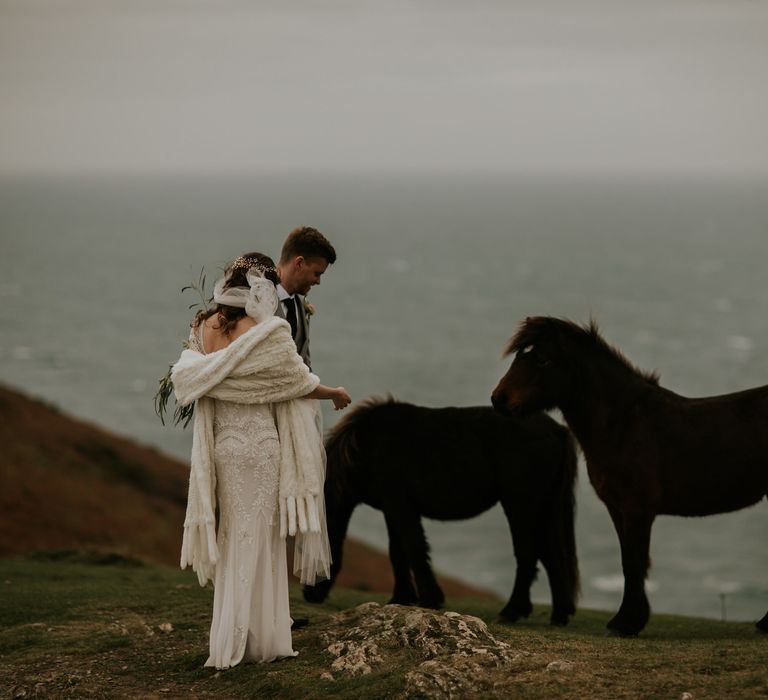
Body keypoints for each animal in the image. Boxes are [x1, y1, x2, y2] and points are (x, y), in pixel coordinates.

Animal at [304, 396, 580, 628]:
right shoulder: (392, 509)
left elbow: (413, 548)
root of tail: (557, 430)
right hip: (544, 506)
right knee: (553, 555)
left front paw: (429, 599)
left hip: (520, 504)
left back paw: (512, 611)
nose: (308, 595)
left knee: (528, 554)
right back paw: (559, 615)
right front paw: (401, 598)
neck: (366, 447)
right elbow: (398, 552)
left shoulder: (401, 506)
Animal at [492, 320, 768, 636]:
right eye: (519, 356)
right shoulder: (617, 507)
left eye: (542, 360)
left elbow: (635, 562)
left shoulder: (637, 509)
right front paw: (628, 619)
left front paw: (627, 623)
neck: (624, 423)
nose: (498, 399)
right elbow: (628, 561)